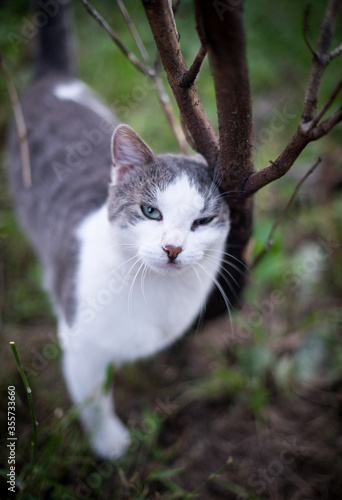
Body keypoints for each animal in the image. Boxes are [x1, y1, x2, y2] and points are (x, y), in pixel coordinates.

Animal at [6, 0, 230, 460]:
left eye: (201, 222)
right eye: (150, 211)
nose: (172, 249)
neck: (153, 294)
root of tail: (55, 80)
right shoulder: (80, 346)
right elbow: (93, 401)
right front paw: (110, 443)